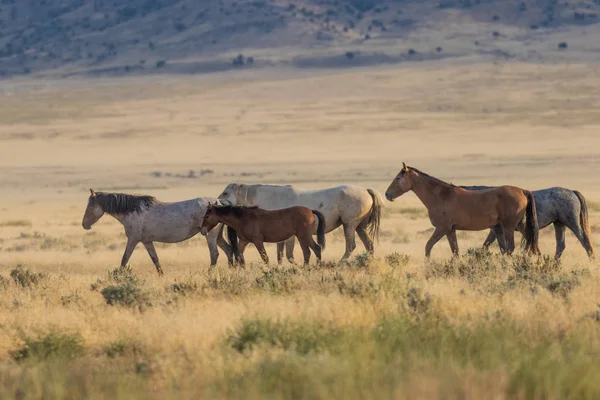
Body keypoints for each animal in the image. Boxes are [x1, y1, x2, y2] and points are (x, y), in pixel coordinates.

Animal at [79, 191, 230, 276]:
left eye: (90, 205)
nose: (84, 224)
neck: (132, 211)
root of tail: (218, 202)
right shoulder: (147, 241)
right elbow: (155, 259)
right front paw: (161, 276)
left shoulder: (133, 239)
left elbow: (124, 259)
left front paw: (118, 277)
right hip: (218, 236)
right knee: (228, 250)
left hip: (210, 235)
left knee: (214, 254)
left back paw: (209, 274)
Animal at [218, 182, 382, 262]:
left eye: (225, 193)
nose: (216, 203)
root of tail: (366, 191)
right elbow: (280, 256)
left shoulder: (289, 237)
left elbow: (289, 256)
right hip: (360, 227)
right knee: (369, 245)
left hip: (349, 225)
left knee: (350, 246)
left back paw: (341, 264)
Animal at [386, 164, 540, 258]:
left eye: (398, 178)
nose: (387, 194)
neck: (441, 196)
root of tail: (523, 191)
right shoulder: (450, 230)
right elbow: (455, 251)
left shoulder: (441, 228)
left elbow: (428, 247)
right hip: (518, 225)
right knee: (531, 243)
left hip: (509, 226)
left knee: (510, 249)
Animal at [462, 185, 592, 260]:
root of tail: (572, 192)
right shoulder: (496, 231)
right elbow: (490, 245)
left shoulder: (497, 229)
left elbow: (494, 246)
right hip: (559, 224)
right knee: (560, 246)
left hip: (572, 223)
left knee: (585, 241)